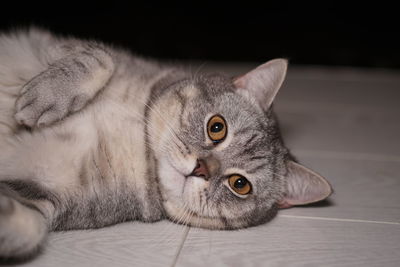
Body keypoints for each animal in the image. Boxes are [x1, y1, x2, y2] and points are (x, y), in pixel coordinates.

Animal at [0, 28, 332, 260]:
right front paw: (45, 97)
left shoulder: (47, 197)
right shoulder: (57, 44)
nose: (200, 168)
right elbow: (102, 57)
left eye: (240, 184)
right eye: (217, 127)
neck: (140, 146)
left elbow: (32, 227)